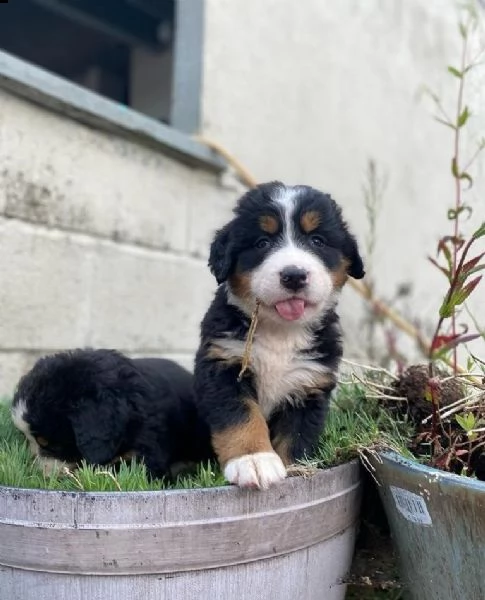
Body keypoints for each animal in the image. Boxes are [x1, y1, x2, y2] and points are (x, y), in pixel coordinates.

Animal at [193, 184, 364, 492]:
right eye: (262, 243)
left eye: (317, 240)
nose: (294, 275)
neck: (280, 332)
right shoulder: (223, 367)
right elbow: (242, 416)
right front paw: (253, 460)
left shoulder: (309, 385)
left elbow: (297, 437)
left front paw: (293, 470)